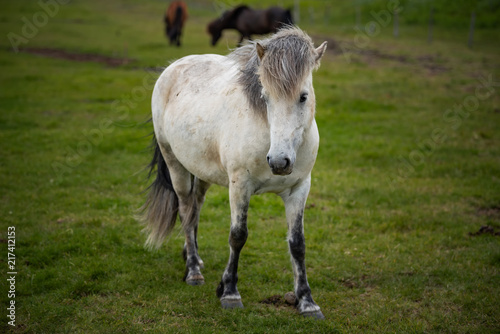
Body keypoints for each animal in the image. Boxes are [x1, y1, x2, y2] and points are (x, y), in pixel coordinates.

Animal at [140, 27, 328, 320]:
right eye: (265, 97)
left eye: (303, 96)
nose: (279, 162)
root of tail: (173, 67)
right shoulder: (239, 186)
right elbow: (238, 236)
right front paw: (229, 292)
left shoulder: (299, 188)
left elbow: (297, 243)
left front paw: (307, 301)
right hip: (175, 165)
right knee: (185, 209)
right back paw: (193, 271)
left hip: (202, 172)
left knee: (195, 207)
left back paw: (193, 257)